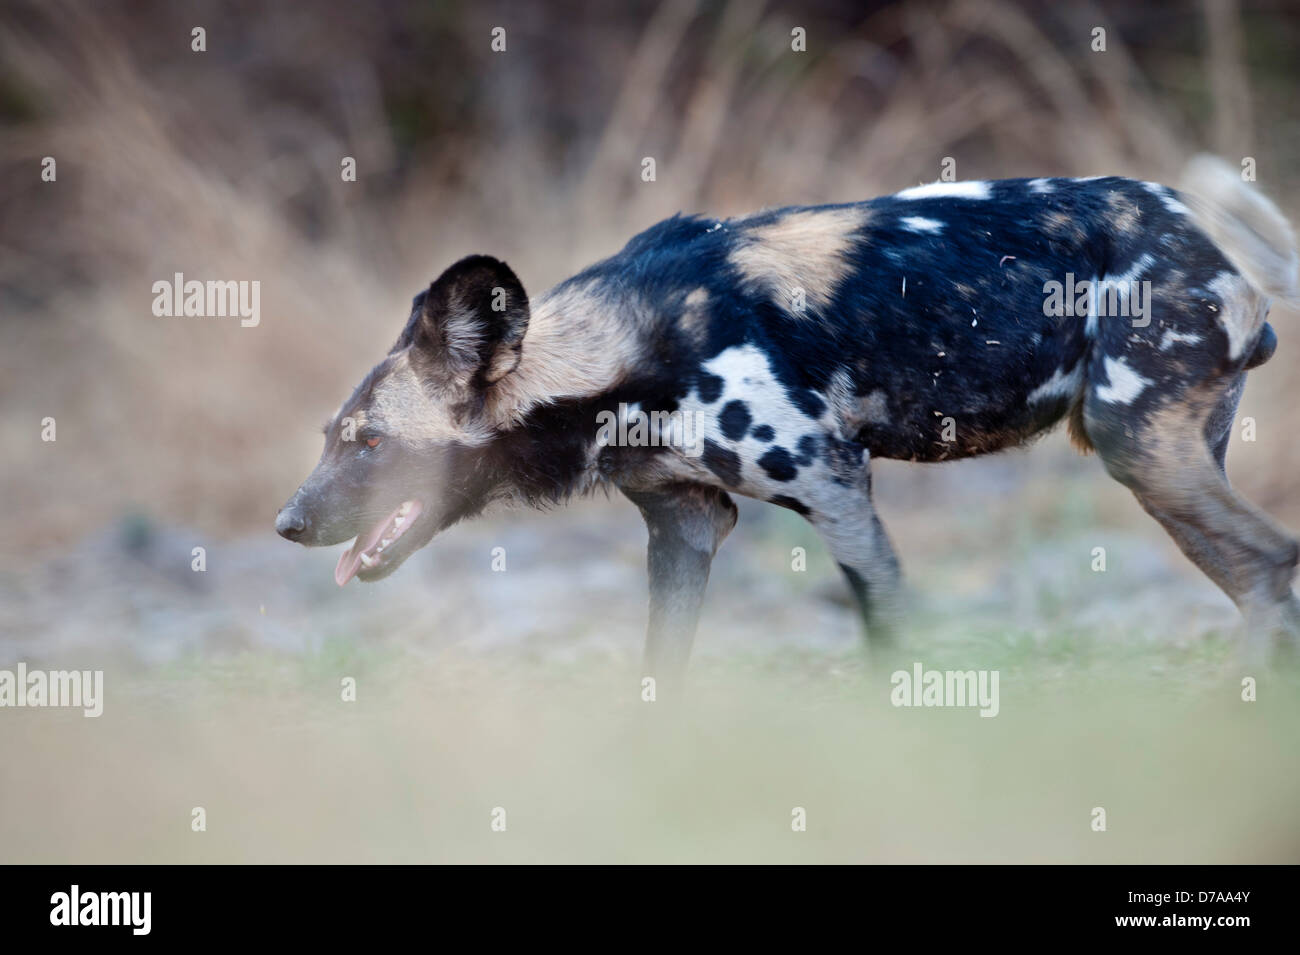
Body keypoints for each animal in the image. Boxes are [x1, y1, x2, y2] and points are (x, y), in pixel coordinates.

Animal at [276, 157, 1300, 675]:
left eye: (371, 442)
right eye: (330, 438)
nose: (286, 522)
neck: (623, 359)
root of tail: (1205, 231)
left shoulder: (839, 488)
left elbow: (888, 637)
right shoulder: (686, 527)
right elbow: (659, 675)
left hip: (1141, 450)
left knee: (1271, 561)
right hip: (1167, 465)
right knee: (1263, 580)